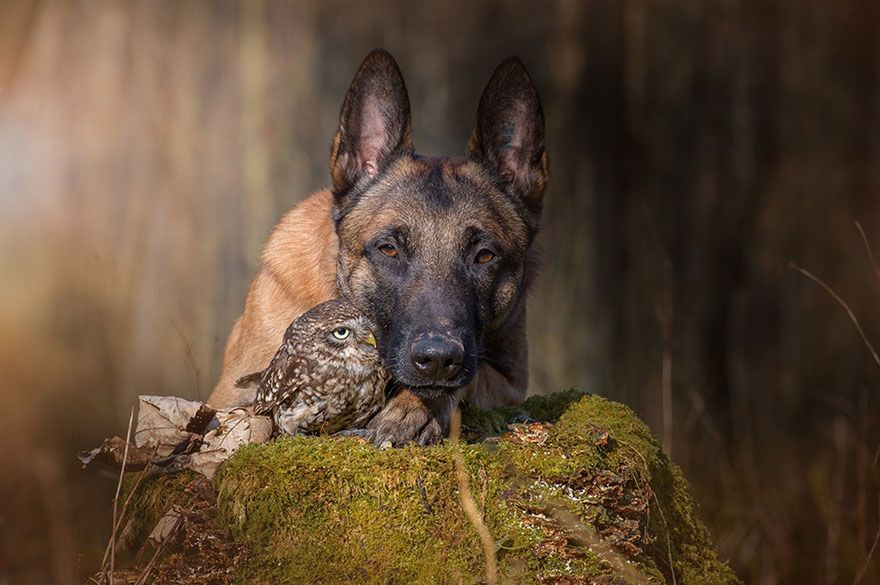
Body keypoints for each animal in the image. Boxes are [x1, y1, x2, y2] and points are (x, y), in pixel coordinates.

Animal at [209, 50, 548, 444]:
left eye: (485, 256)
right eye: (388, 249)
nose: (437, 359)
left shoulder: (510, 382)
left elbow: (470, 377)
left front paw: (411, 407)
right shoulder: (232, 394)